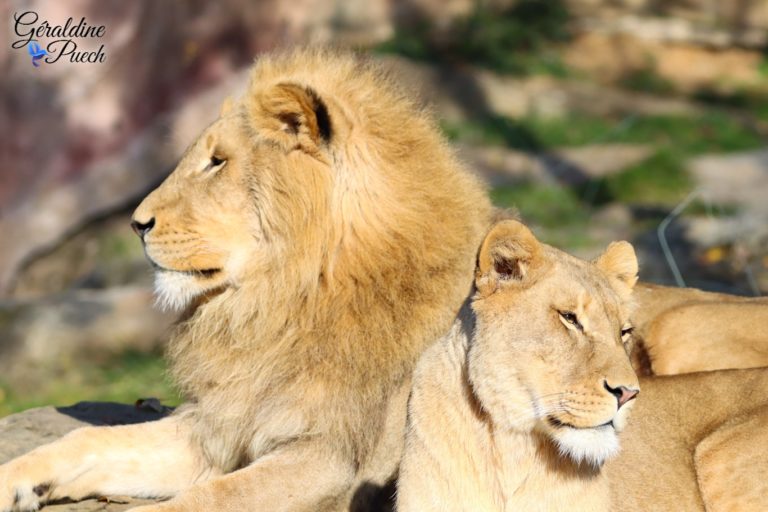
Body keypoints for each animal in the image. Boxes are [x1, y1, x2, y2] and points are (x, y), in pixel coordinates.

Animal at [0, 48, 492, 512]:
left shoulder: (334, 465)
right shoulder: (217, 427)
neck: (275, 305)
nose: (137, 224)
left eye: (217, 162)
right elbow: (91, 440)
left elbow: (209, 498)